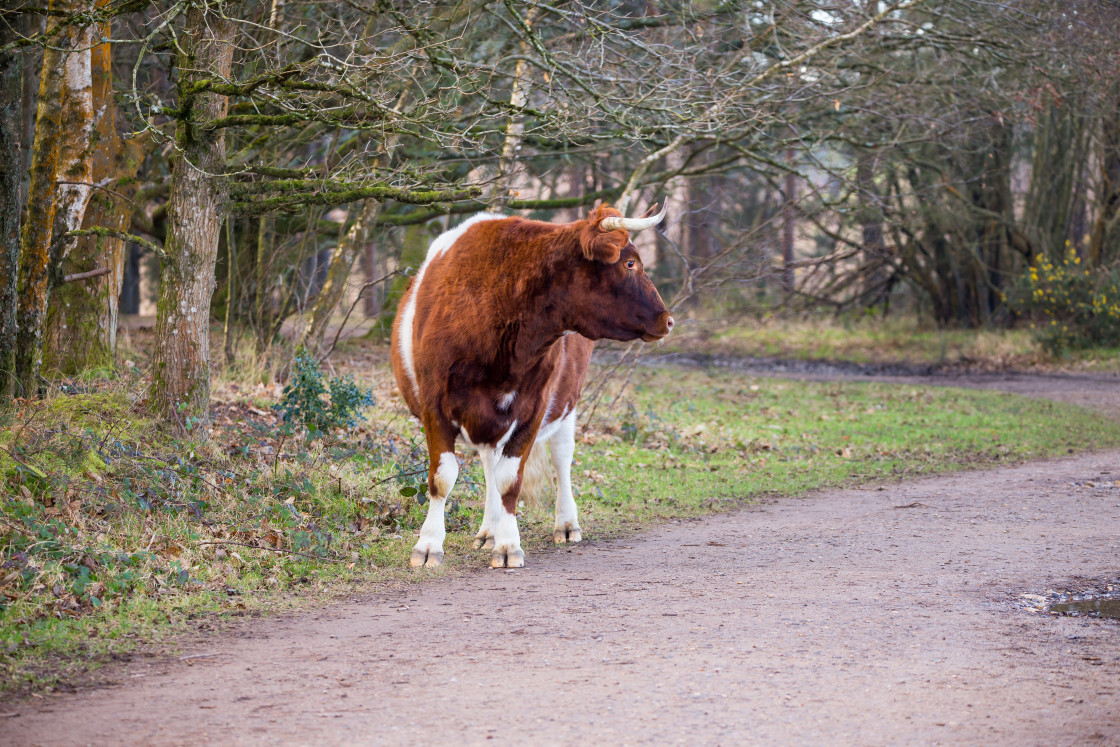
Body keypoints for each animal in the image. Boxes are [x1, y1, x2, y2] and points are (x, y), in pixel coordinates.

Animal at [392, 202, 672, 566]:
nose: (668, 320)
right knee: (489, 464)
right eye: (629, 263)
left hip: (567, 403)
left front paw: (509, 545)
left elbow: (510, 480)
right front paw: (428, 545)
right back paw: (488, 530)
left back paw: (565, 524)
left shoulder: (533, 407)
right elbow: (443, 478)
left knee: (561, 457)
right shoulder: (434, 405)